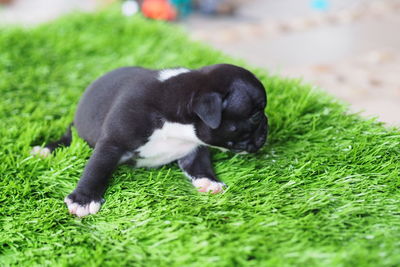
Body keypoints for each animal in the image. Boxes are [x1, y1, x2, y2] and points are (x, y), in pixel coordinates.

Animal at [32, 64, 268, 218]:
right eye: (256, 116)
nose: (267, 127)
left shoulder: (194, 148)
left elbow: (201, 165)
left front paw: (209, 181)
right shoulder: (112, 142)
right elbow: (96, 168)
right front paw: (83, 199)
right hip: (76, 130)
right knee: (68, 138)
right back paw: (46, 150)